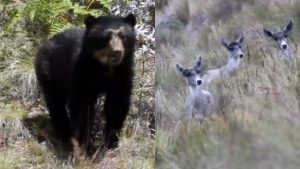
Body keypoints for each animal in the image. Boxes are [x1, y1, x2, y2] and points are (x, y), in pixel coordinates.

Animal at [34, 13, 137, 153]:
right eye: (106, 37)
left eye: (123, 37)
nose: (117, 52)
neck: (105, 67)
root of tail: (46, 42)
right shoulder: (82, 71)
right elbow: (83, 106)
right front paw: (85, 144)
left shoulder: (123, 72)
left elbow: (117, 104)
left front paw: (111, 143)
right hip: (49, 72)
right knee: (55, 103)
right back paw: (65, 135)